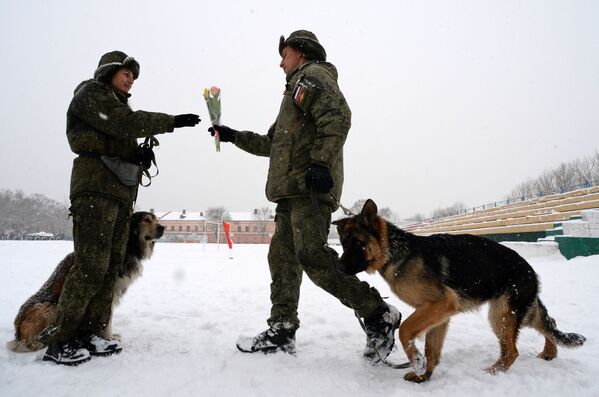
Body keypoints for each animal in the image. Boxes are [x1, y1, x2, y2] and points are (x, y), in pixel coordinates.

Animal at [6, 212, 164, 352]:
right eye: (146, 220)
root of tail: (18, 333)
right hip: (49, 308)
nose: (162, 227)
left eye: (156, 220)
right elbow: (107, 319)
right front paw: (108, 337)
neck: (129, 247)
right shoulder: (108, 292)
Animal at [332, 200, 584, 382]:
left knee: (512, 351)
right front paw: (425, 375)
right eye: (344, 244)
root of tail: (530, 270)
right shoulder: (439, 314)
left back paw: (492, 373)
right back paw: (549, 352)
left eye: (358, 244)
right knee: (548, 322)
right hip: (517, 312)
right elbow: (432, 348)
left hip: (501, 315)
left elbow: (405, 330)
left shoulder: (439, 305)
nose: (339, 268)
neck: (395, 251)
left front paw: (417, 361)